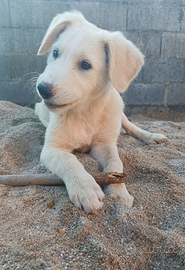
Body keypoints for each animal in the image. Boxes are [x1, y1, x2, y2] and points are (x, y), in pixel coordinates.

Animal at [35, 11, 166, 213]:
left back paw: (151, 136)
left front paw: (119, 192)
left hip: (118, 109)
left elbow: (115, 162)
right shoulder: (52, 149)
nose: (43, 89)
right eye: (55, 53)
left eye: (85, 65)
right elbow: (69, 160)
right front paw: (85, 188)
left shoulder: (104, 144)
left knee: (128, 125)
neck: (85, 113)